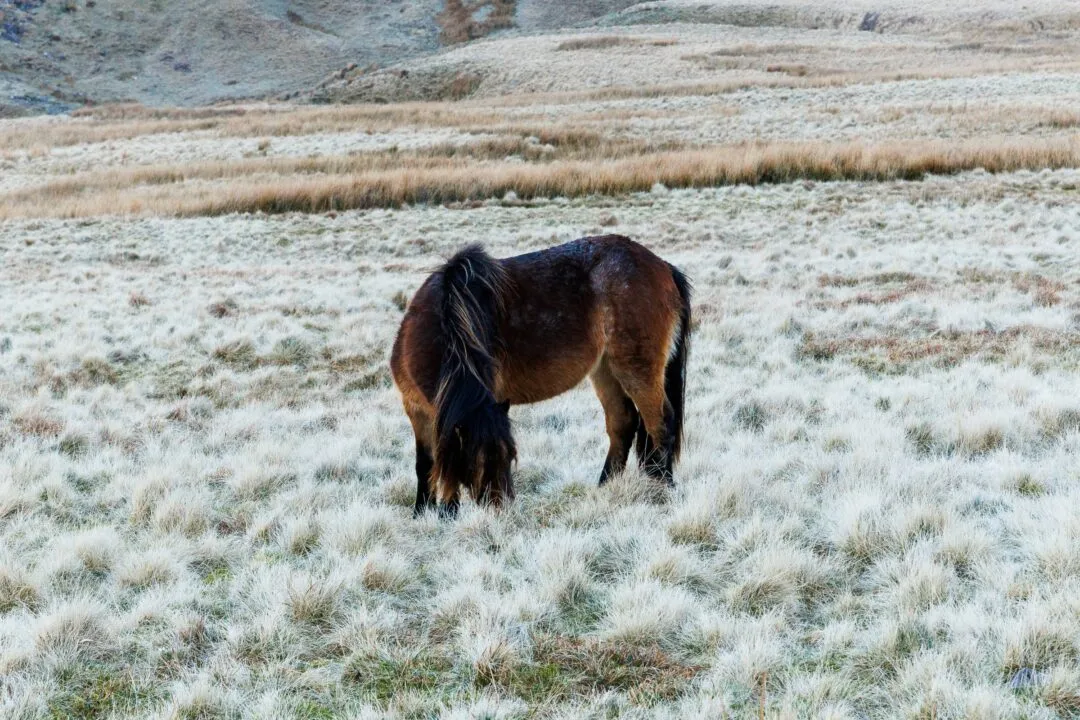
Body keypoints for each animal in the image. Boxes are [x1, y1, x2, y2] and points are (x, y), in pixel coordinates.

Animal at [390, 234, 691, 518]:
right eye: (476, 463)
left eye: (510, 457)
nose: (502, 510)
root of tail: (662, 266)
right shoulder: (417, 410)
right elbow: (427, 462)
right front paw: (424, 512)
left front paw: (446, 513)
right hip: (605, 370)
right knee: (623, 423)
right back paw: (605, 487)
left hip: (636, 368)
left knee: (660, 423)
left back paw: (661, 487)